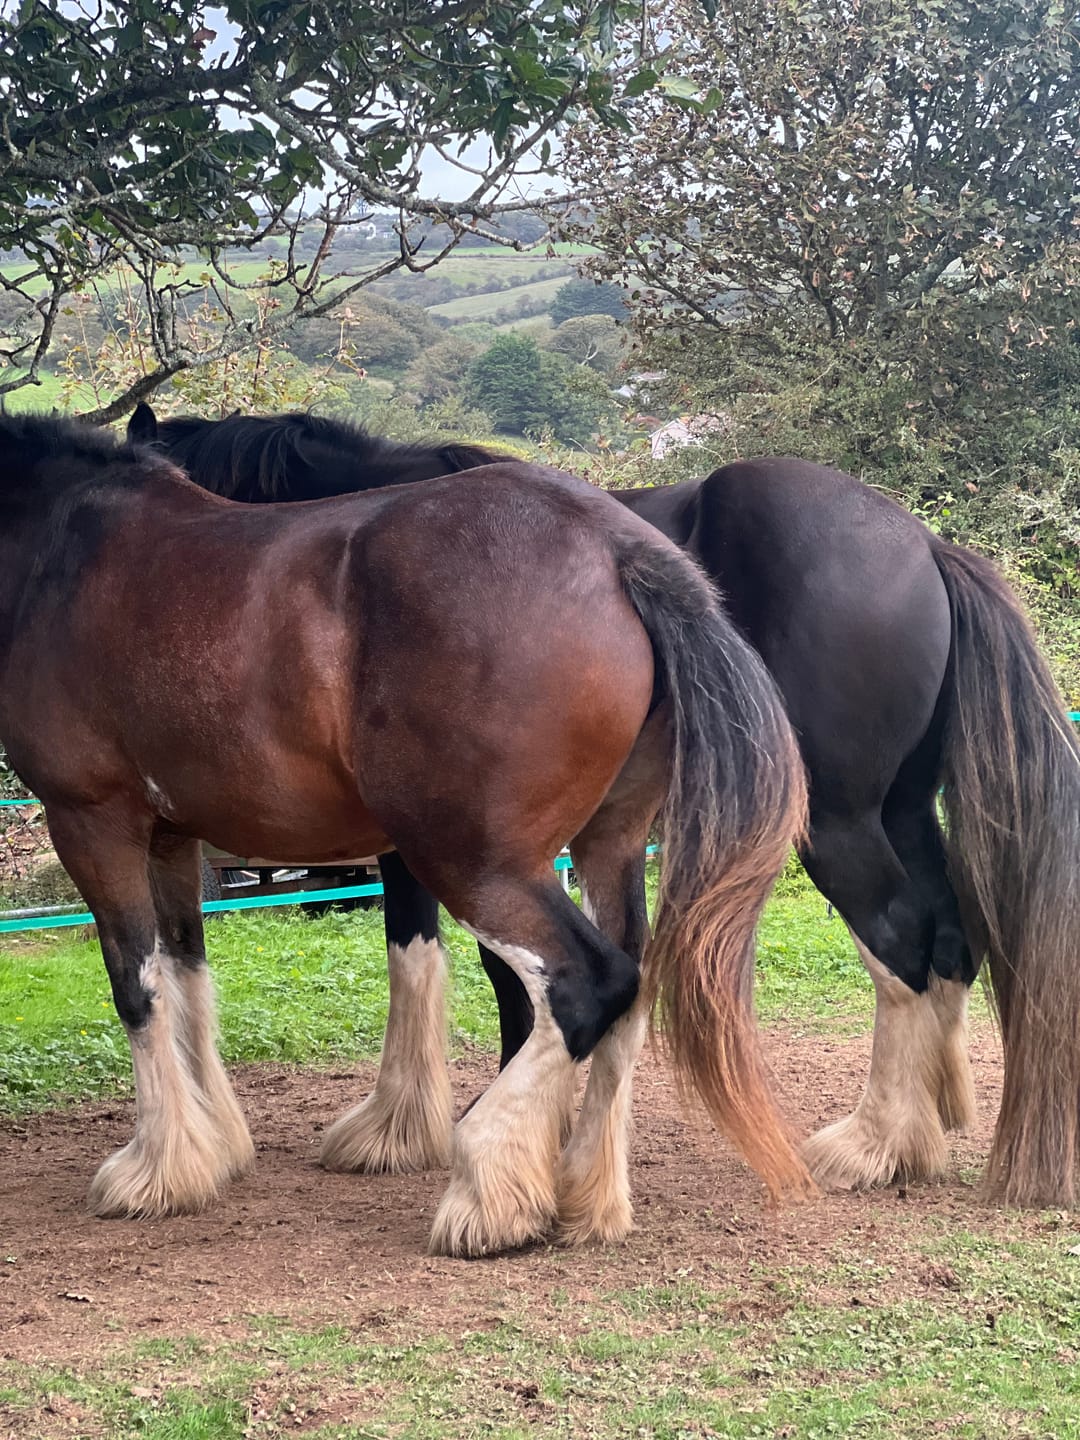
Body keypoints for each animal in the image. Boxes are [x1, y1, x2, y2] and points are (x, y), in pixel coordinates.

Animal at [0, 411, 810, 1256]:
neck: (64, 548)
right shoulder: (170, 836)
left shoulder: (91, 820)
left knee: (591, 981)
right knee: (634, 980)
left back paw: (489, 1190)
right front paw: (212, 1145)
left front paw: (157, 1166)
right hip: (606, 845)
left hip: (472, 860)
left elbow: (137, 983)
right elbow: (188, 972)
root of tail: (617, 550)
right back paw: (588, 1194)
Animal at [129, 403, 1080, 1210]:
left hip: (840, 824)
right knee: (951, 937)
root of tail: (920, 543)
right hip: (903, 811)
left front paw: (431, 1127)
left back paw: (874, 1144)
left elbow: (450, 964)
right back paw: (929, 1127)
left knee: (903, 941)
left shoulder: (440, 842)